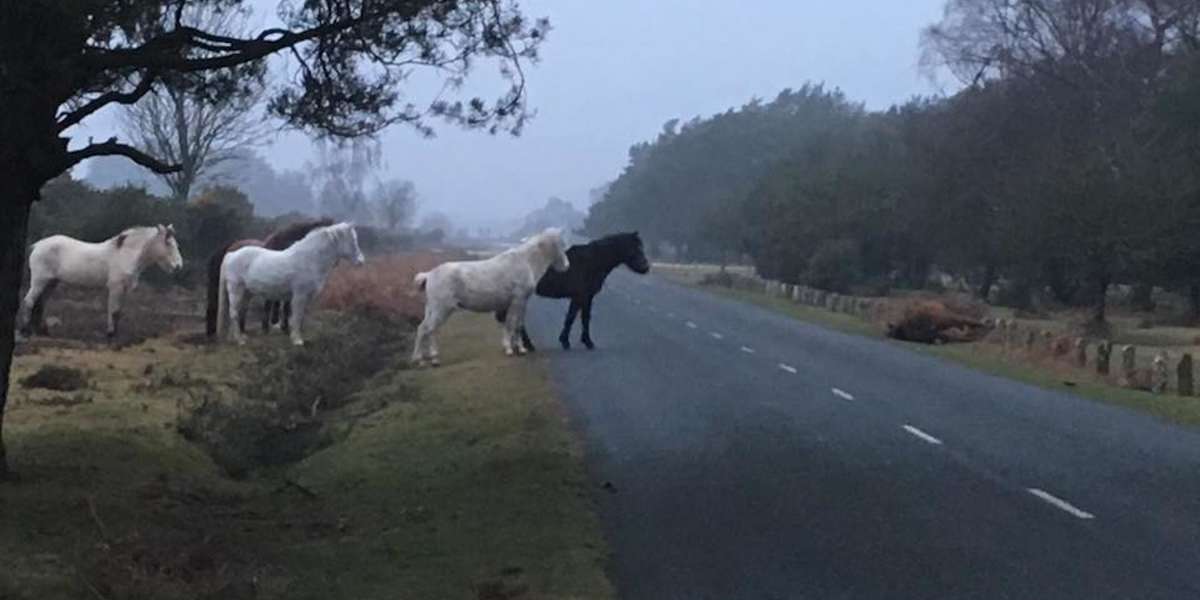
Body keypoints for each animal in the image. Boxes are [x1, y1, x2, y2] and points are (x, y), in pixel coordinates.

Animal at [19, 224, 184, 342]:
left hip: (51, 282)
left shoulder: (123, 289)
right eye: (168, 243)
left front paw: (115, 335)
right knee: (29, 301)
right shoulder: (116, 287)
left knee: (40, 303)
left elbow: (118, 312)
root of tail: (38, 245)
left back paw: (41, 332)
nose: (178, 266)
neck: (125, 253)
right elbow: (114, 310)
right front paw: (110, 335)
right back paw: (25, 331)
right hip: (40, 281)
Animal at [217, 222, 364, 346]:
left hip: (246, 293)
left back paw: (236, 337)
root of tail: (231, 254)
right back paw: (240, 340)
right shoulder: (299, 295)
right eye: (353, 241)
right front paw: (297, 340)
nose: (361, 261)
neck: (309, 259)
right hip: (236, 290)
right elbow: (297, 316)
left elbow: (300, 316)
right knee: (233, 312)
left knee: (239, 311)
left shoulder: (306, 297)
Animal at [411, 228, 569, 367]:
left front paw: (511, 347)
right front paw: (515, 349)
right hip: (442, 309)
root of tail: (429, 274)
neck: (525, 261)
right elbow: (515, 325)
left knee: (422, 329)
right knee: (430, 329)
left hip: (432, 309)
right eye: (560, 244)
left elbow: (511, 324)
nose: (567, 266)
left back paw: (421, 360)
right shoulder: (519, 300)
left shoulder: (512, 304)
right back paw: (434, 358)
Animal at [497, 231, 650, 351]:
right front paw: (585, 342)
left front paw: (567, 340)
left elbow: (575, 317)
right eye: (635, 248)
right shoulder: (583, 295)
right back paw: (527, 345)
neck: (593, 261)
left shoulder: (582, 297)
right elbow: (580, 318)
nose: (646, 268)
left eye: (641, 247)